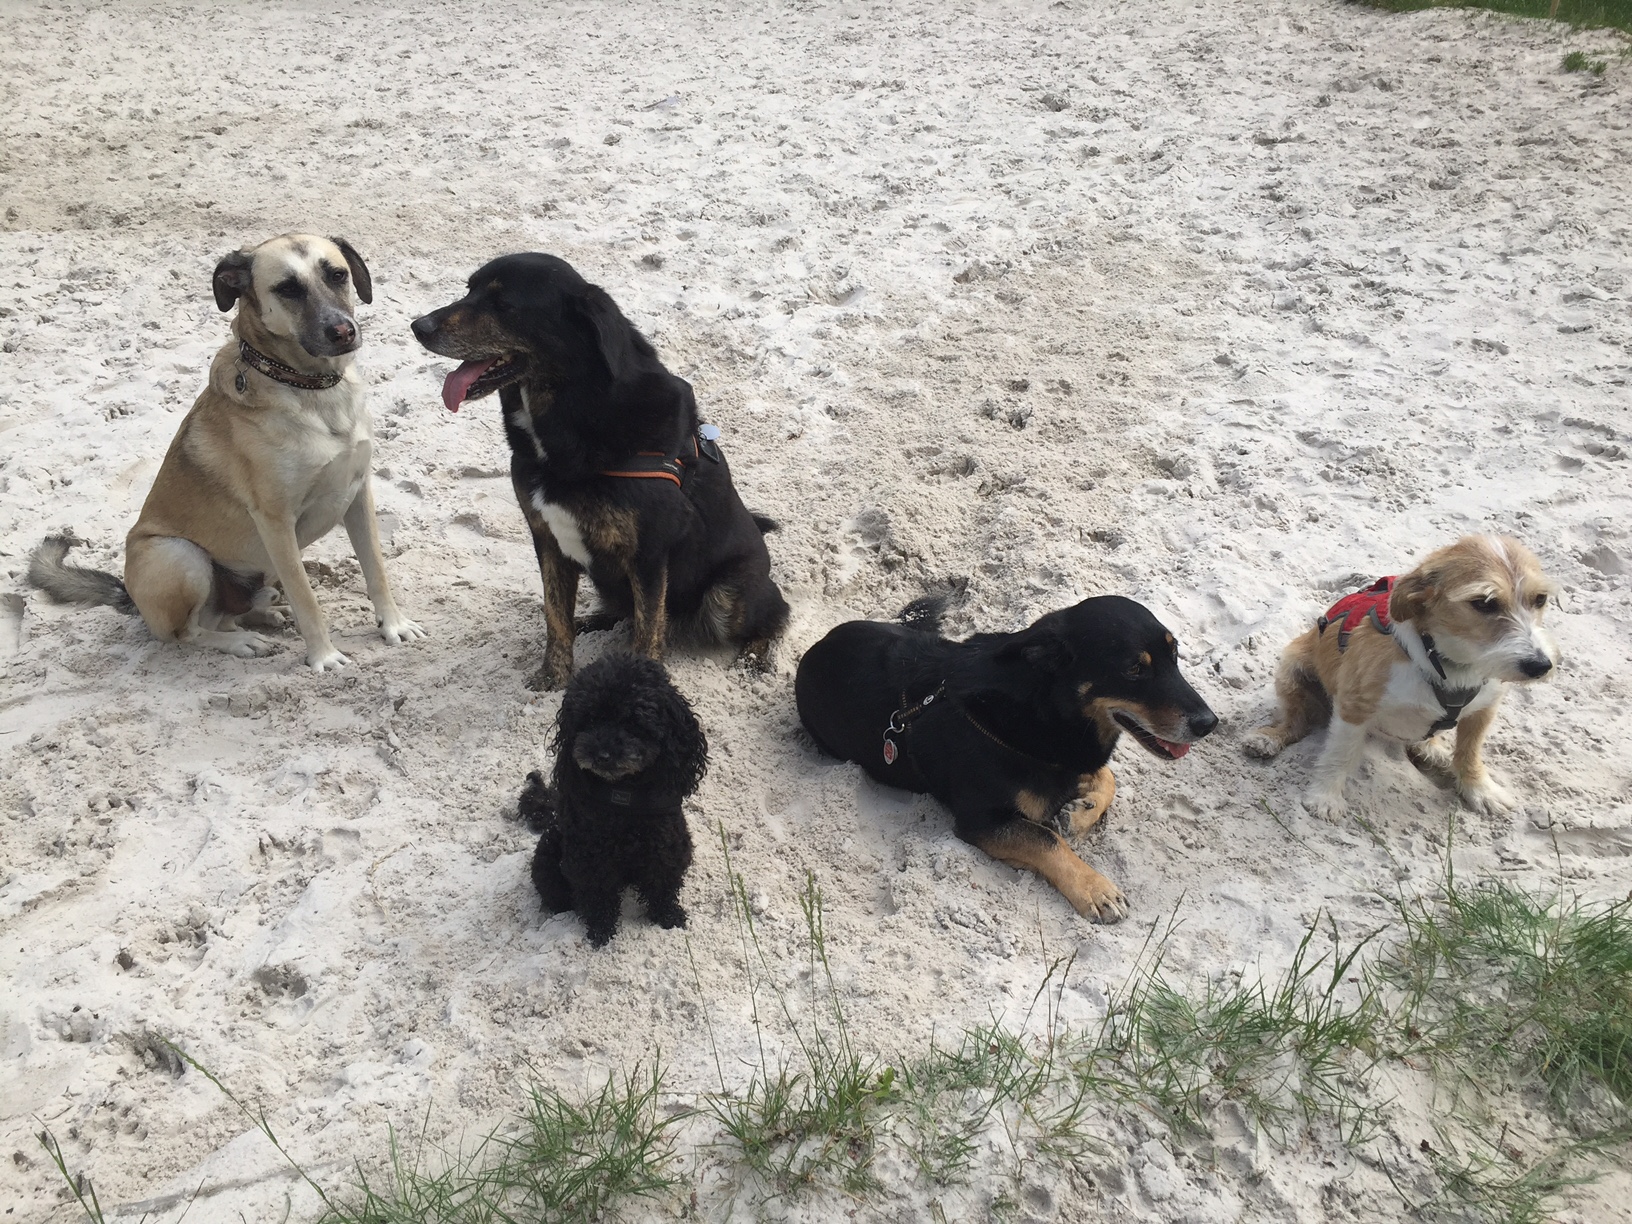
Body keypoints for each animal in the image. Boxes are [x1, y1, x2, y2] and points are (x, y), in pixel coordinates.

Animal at [28, 230, 424, 672]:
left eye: (337, 275)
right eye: (287, 289)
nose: (343, 331)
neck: (310, 388)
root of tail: (132, 599)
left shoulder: (357, 495)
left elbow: (376, 569)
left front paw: (393, 625)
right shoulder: (275, 521)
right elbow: (306, 597)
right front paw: (324, 655)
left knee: (230, 614)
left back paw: (266, 613)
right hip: (177, 555)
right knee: (189, 632)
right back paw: (241, 642)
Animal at [411, 254, 786, 691]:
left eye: (503, 304)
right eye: (468, 289)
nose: (418, 327)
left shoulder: (649, 553)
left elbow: (649, 628)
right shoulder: (547, 541)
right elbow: (555, 616)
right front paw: (553, 677)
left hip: (727, 592)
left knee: (774, 616)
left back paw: (752, 659)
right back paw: (592, 621)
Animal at [518, 652, 705, 946]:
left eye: (633, 722)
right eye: (589, 720)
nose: (602, 755)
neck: (624, 794)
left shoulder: (667, 845)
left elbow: (662, 884)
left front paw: (670, 918)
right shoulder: (588, 855)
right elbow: (597, 895)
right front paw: (600, 933)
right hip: (548, 854)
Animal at [796, 590, 1220, 920]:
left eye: (1175, 655)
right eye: (1134, 669)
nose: (1209, 723)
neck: (1041, 707)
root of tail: (817, 647)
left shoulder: (1068, 761)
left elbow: (1106, 778)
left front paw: (1079, 813)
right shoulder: (982, 822)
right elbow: (1046, 839)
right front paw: (1094, 888)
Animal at [1246, 541, 1553, 819]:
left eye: (1540, 599)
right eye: (1483, 603)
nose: (1540, 665)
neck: (1446, 663)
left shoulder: (1483, 710)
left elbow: (1470, 752)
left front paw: (1480, 790)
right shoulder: (1355, 707)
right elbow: (1340, 754)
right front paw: (1326, 797)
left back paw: (1433, 749)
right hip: (1291, 671)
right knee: (1296, 721)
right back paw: (1269, 738)